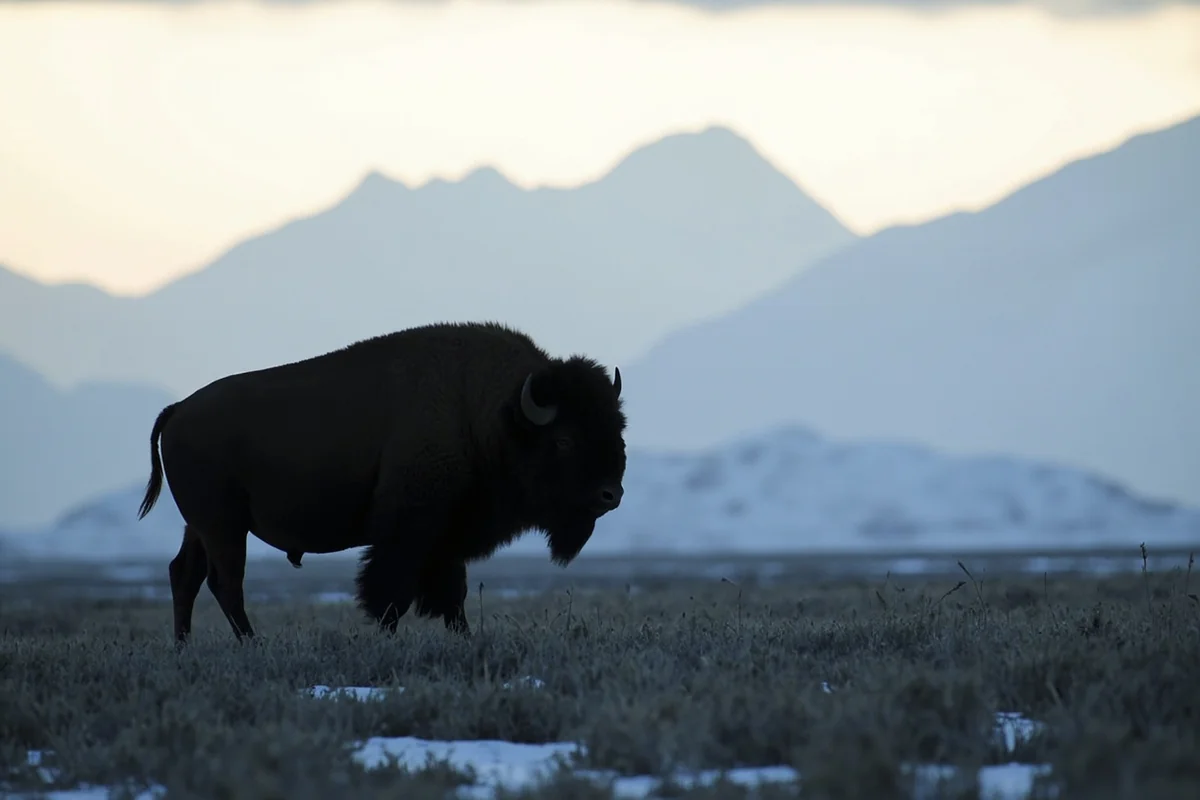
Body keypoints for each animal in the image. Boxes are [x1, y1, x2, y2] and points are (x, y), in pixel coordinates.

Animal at [135, 321, 627, 643]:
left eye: (618, 428)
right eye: (563, 439)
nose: (611, 494)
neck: (487, 414)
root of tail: (178, 410)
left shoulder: (447, 537)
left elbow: (453, 596)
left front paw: (464, 639)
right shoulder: (408, 532)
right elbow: (391, 590)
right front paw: (389, 638)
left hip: (200, 527)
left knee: (185, 575)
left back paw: (184, 648)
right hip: (224, 527)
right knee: (225, 583)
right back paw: (252, 645)